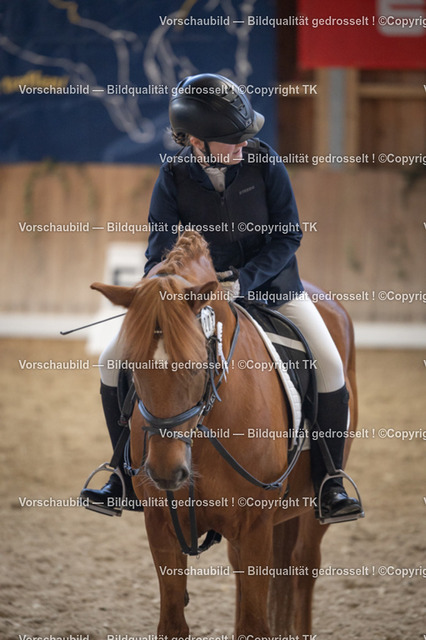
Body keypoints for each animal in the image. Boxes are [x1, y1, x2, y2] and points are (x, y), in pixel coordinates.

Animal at [91, 230, 359, 637]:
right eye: (131, 366)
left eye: (196, 364)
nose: (167, 472)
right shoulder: (161, 524)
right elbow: (173, 623)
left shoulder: (255, 525)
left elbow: (255, 624)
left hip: (311, 508)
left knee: (303, 567)